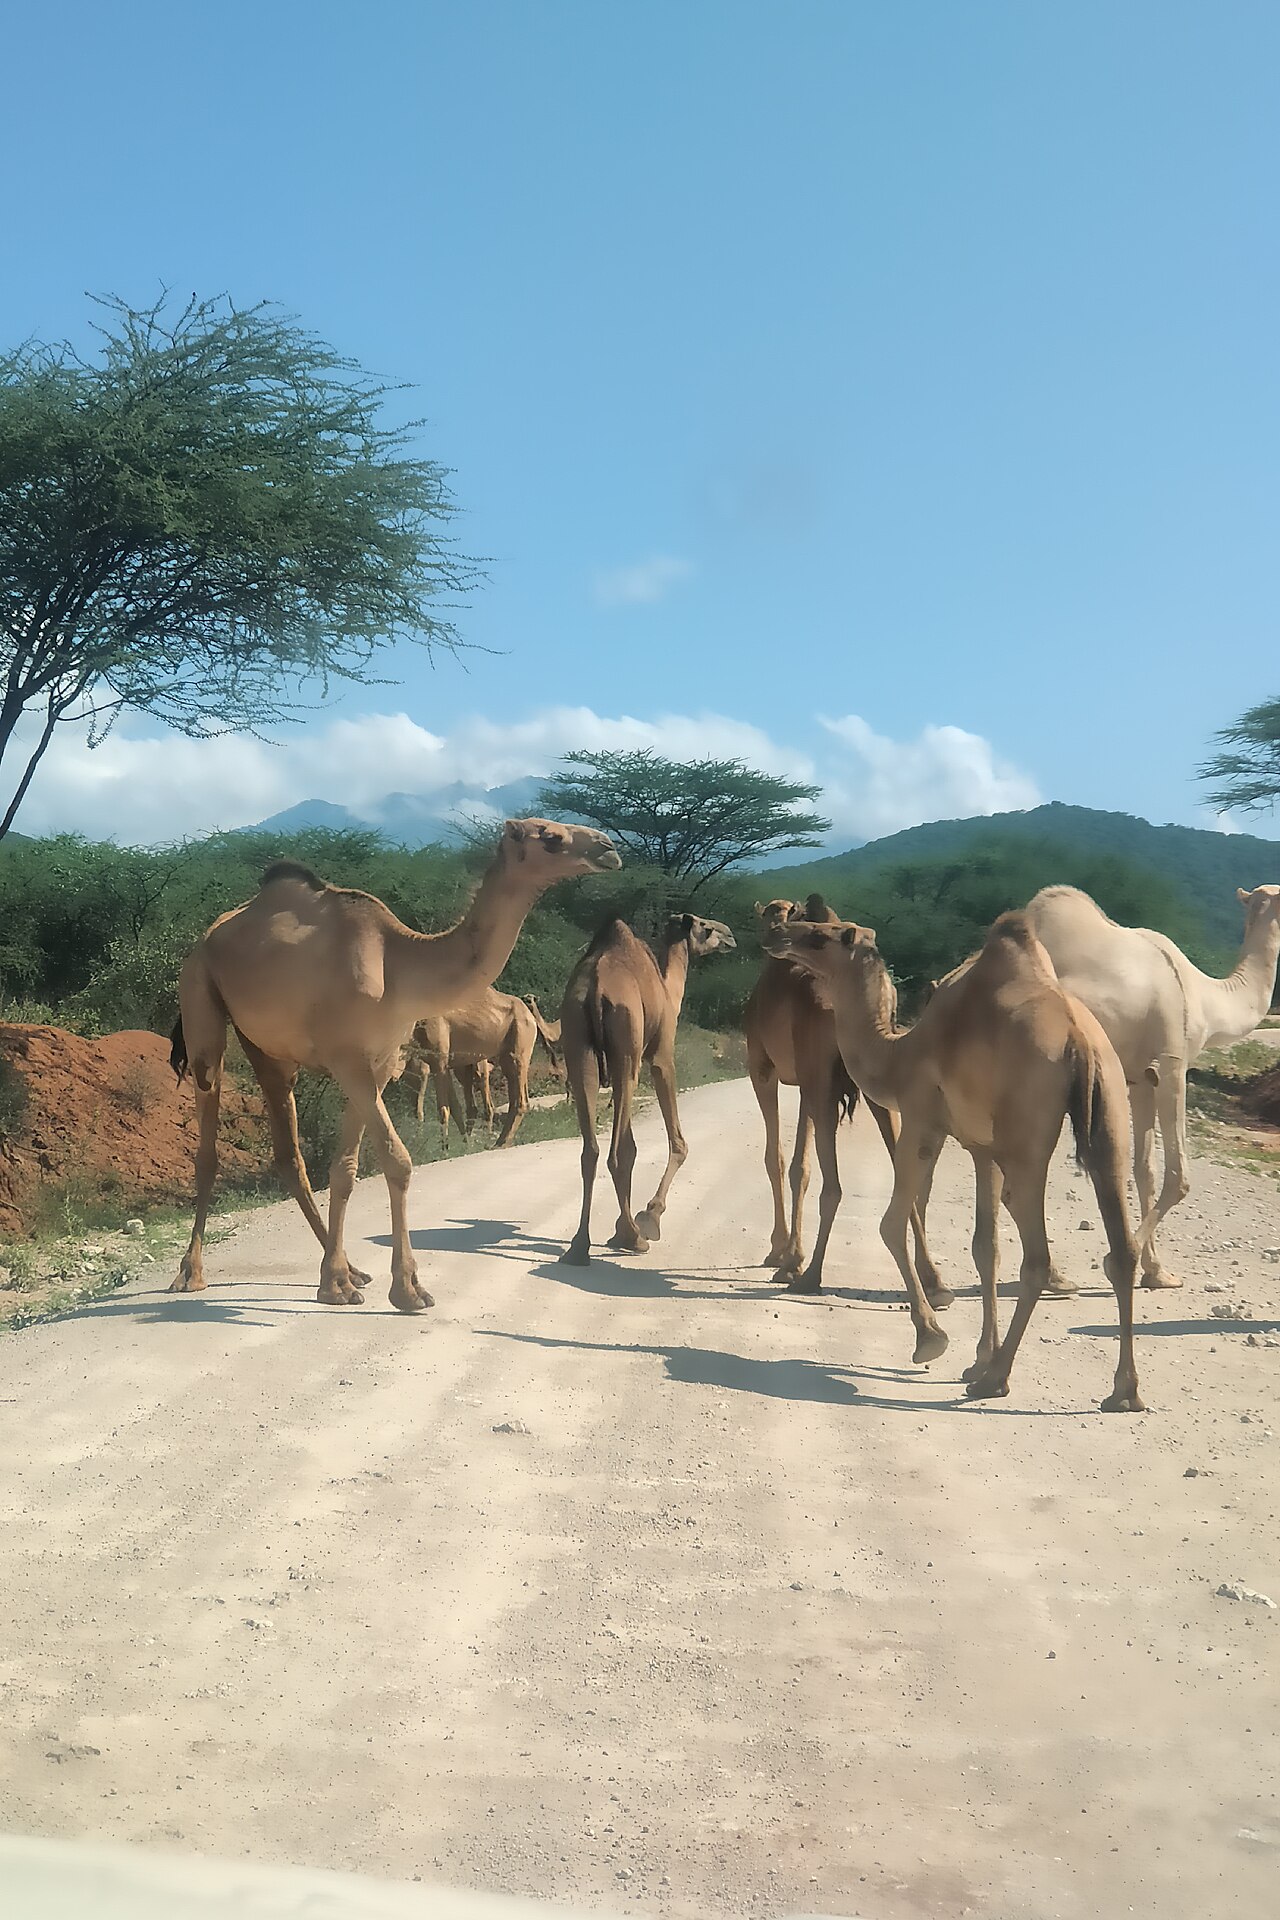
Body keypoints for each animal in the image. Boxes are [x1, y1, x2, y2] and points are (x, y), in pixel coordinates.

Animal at [406, 989, 564, 1148]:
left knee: (519, 1100)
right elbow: (455, 1107)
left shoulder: (438, 1060)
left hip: (517, 1048)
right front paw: (465, 1145)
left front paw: (445, 1149)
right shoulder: (439, 1064)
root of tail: (531, 1018)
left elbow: (443, 1109)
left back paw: (500, 1143)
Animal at [559, 913, 736, 1264]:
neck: (668, 989)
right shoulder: (661, 1054)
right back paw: (633, 1237)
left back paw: (579, 1246)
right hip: (627, 1050)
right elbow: (679, 1143)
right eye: (706, 927)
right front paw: (649, 1218)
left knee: (591, 1150)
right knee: (619, 1151)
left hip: (578, 1044)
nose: (730, 936)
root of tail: (596, 987)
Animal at [746, 895, 949, 1302]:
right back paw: (935, 1282)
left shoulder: (764, 1069)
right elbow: (800, 1166)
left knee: (834, 1184)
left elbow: (778, 1160)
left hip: (818, 1078)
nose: (774, 936)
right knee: (903, 1172)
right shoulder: (807, 1085)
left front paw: (781, 1253)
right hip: (873, 1088)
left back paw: (808, 1275)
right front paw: (790, 1254)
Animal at [762, 911, 1144, 1410]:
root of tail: (1078, 1039)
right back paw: (1124, 1391)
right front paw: (978, 1357)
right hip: (1112, 1116)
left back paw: (997, 1380)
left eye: (820, 936)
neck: (897, 1055)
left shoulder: (923, 1120)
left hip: (1026, 1139)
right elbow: (986, 1248)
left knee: (1037, 1257)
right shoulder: (982, 1150)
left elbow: (892, 1223)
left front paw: (932, 1338)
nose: (776, 934)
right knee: (1121, 1249)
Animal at [1025, 884, 1280, 1289]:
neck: (1203, 997)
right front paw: (1121, 1261)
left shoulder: (1140, 1079)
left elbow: (1144, 1169)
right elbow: (1178, 1177)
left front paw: (1157, 1271)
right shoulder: (1171, 1065)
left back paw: (1052, 1277)